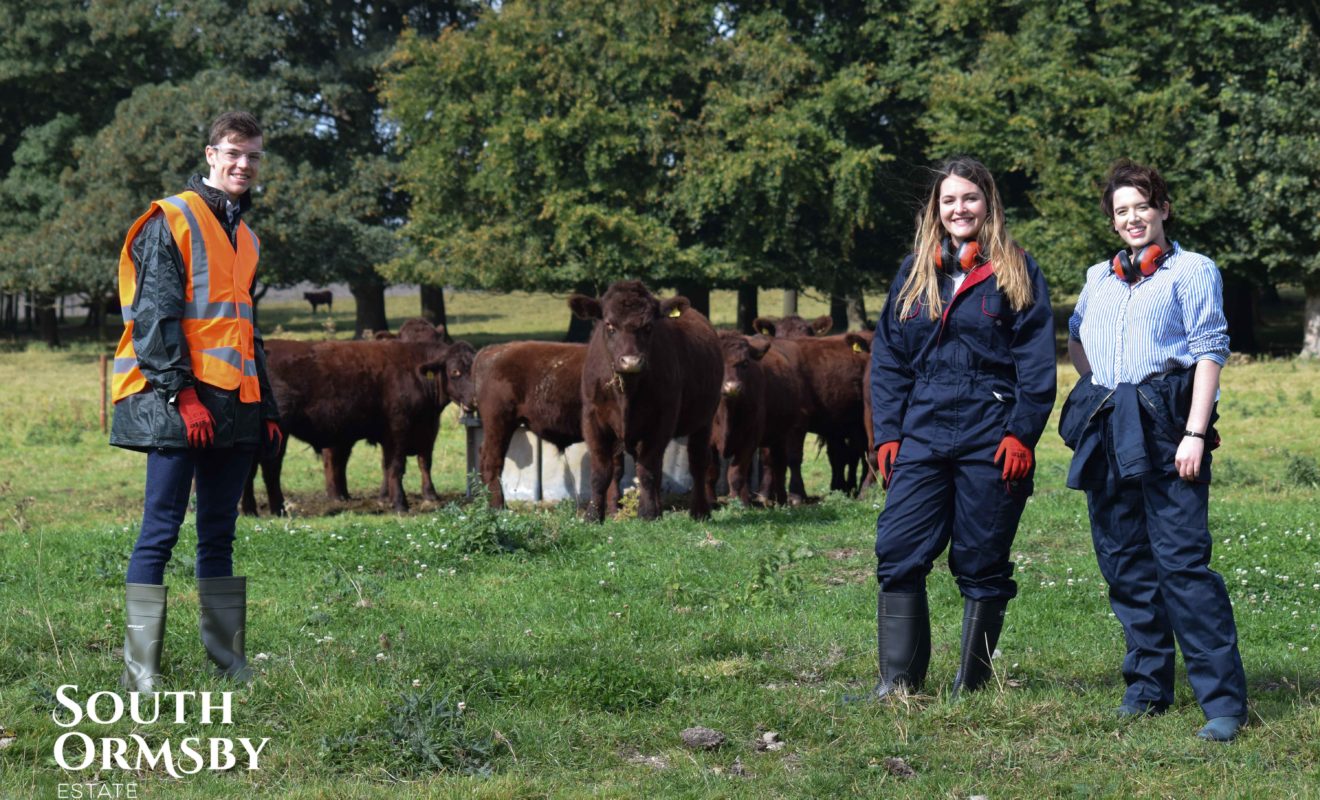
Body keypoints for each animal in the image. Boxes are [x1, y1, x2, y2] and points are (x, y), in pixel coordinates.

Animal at [567, 282, 723, 528]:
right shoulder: (592, 418)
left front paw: (647, 513)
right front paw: (593, 515)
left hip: (704, 420)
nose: (631, 361)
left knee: (697, 462)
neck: (627, 391)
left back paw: (699, 511)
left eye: (649, 327)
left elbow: (647, 469)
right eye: (609, 324)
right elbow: (601, 472)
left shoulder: (662, 420)